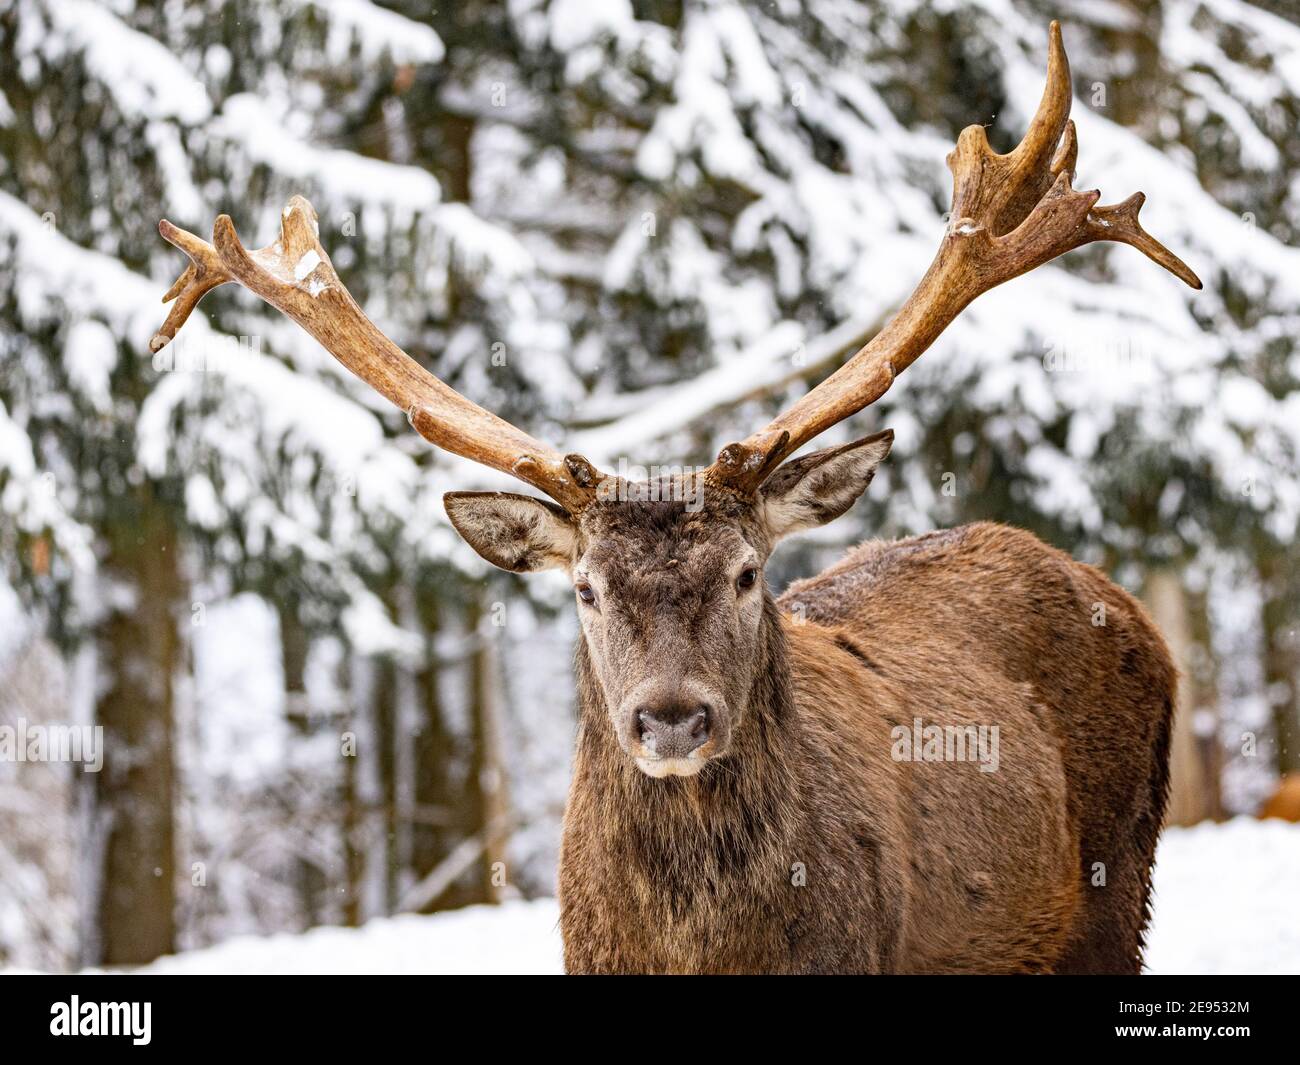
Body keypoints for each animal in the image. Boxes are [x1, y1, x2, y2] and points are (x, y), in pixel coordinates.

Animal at [151, 23, 1200, 974]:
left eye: (746, 573)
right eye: (585, 588)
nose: (670, 720)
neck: (700, 949)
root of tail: (1130, 611)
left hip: (1120, 884)